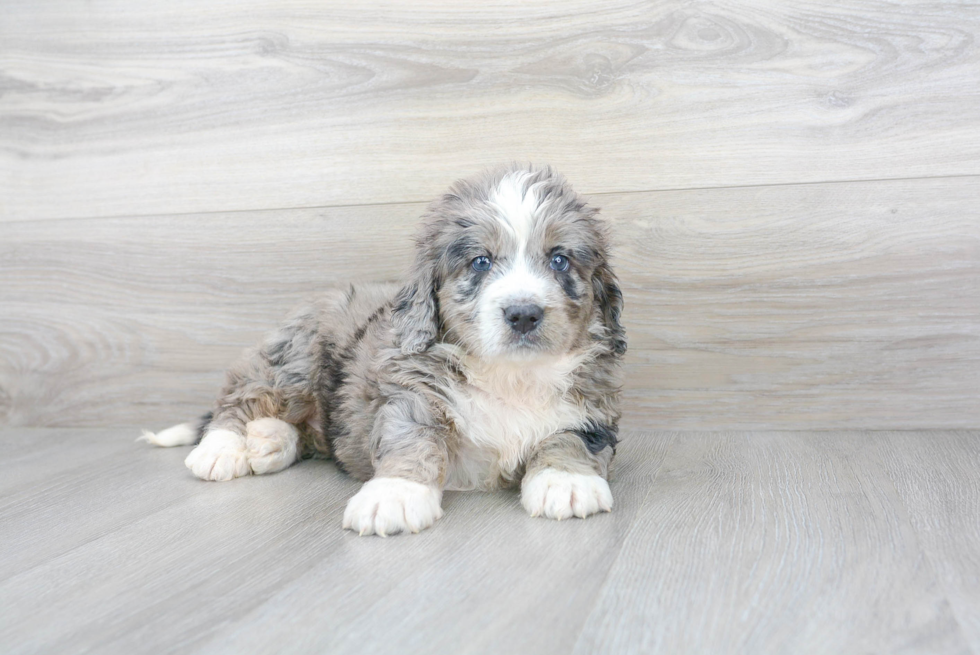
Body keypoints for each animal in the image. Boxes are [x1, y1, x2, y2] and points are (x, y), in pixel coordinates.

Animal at [141, 165, 624, 540]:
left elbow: (570, 436)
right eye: (480, 262)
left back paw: (269, 441)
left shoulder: (593, 407)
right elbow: (410, 441)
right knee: (242, 396)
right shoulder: (412, 394)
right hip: (294, 360)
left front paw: (566, 481)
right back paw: (223, 448)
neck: (510, 375)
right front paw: (395, 495)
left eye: (559, 260)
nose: (523, 314)